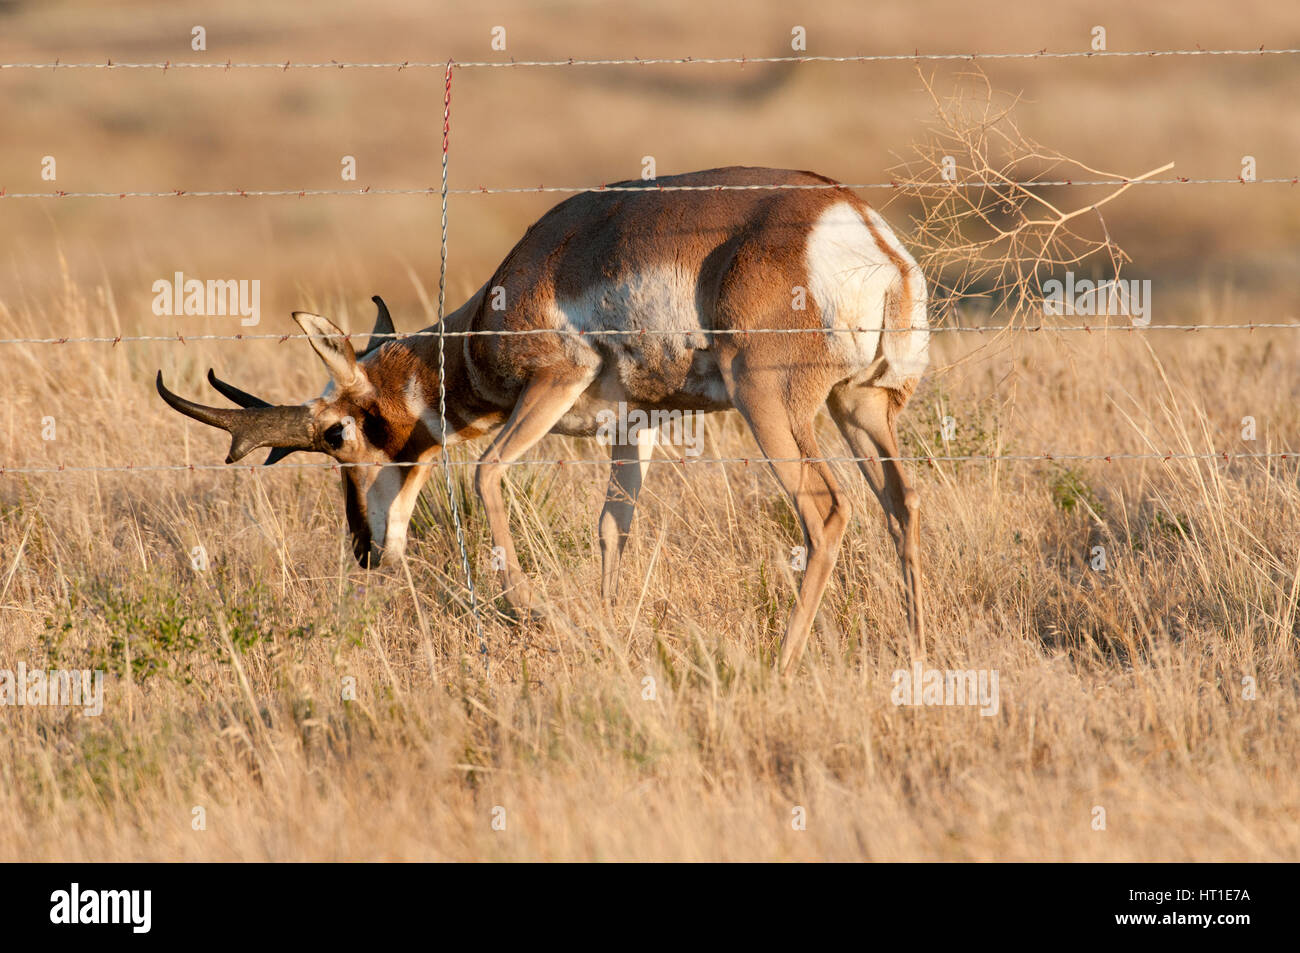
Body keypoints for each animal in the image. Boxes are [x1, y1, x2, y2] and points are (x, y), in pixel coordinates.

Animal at [157, 165, 930, 670]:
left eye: (336, 432)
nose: (365, 551)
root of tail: (855, 224)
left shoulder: (553, 384)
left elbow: (485, 472)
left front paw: (530, 610)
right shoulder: (634, 429)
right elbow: (614, 525)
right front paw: (610, 633)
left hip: (770, 407)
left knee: (827, 509)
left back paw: (782, 663)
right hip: (860, 406)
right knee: (901, 502)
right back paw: (916, 645)